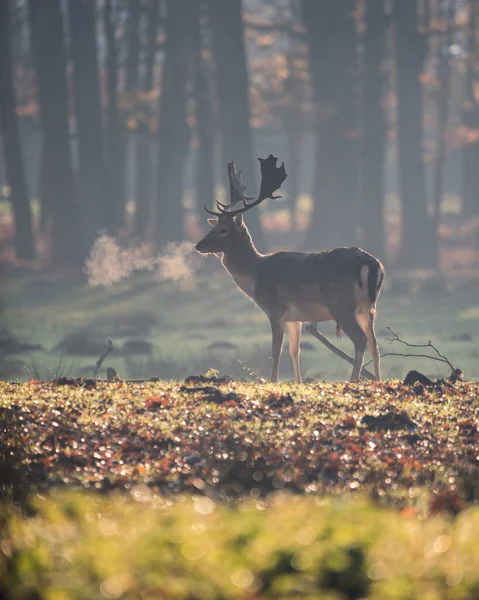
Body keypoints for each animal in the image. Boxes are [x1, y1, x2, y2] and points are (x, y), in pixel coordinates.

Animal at [195, 152, 386, 382]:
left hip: (341, 304)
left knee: (360, 339)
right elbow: (294, 350)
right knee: (375, 343)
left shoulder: (276, 309)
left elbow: (276, 350)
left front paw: (273, 380)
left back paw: (353, 380)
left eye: (223, 229)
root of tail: (371, 264)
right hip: (368, 307)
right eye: (213, 226)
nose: (199, 245)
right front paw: (298, 381)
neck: (256, 275)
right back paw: (378, 380)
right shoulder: (296, 317)